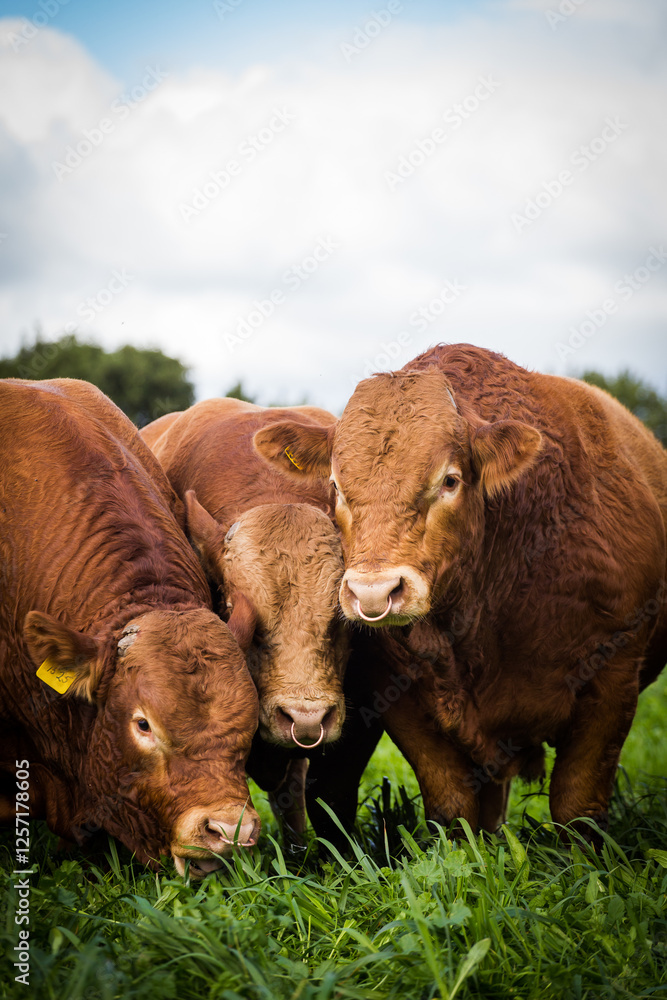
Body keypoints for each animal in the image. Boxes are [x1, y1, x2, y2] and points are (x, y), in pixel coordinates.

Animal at [251, 344, 667, 840]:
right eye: (336, 486)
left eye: (449, 481)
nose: (373, 592)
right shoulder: (400, 693)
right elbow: (451, 806)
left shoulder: (614, 678)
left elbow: (578, 810)